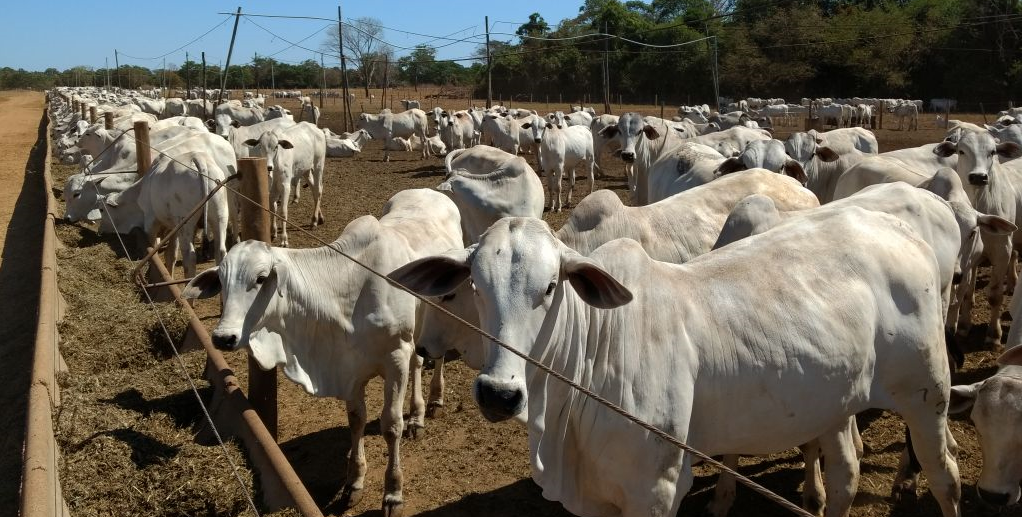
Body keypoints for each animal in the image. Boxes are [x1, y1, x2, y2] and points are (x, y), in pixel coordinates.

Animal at [183, 188, 463, 517]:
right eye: (222, 281)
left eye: (261, 278)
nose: (223, 337)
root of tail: (431, 191)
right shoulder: (351, 368)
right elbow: (356, 419)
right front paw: (353, 483)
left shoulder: (395, 357)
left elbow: (391, 425)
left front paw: (393, 494)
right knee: (419, 361)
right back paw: (417, 415)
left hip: (440, 316)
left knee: (436, 357)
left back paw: (433, 402)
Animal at [390, 209, 964, 517]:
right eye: (474, 285)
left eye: (551, 286)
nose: (499, 393)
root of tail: (897, 225)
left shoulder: (658, 489)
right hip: (836, 402)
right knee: (846, 472)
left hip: (927, 395)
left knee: (946, 477)